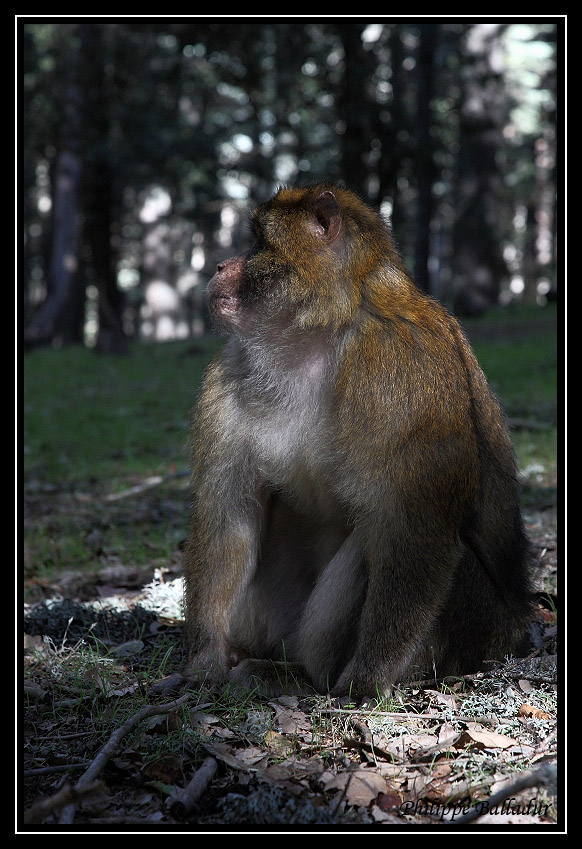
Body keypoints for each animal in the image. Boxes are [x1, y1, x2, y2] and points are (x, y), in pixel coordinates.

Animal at [182, 184, 532, 696]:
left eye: (258, 242)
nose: (221, 266)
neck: (320, 333)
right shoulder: (230, 371)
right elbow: (229, 508)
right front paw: (206, 657)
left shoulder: (398, 369)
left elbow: (410, 521)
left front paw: (367, 678)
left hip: (478, 633)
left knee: (385, 539)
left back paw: (310, 678)